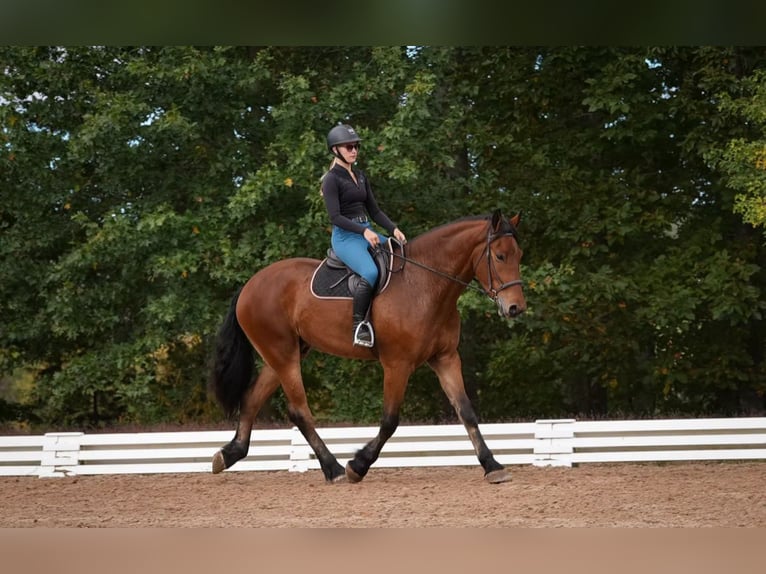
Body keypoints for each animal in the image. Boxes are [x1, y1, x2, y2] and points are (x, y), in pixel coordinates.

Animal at [209, 209, 526, 483]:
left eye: (519, 255)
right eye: (500, 256)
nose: (515, 308)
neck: (425, 284)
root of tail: (250, 284)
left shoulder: (446, 358)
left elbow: (466, 411)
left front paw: (492, 466)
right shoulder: (397, 364)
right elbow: (389, 420)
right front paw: (358, 465)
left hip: (286, 353)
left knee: (252, 398)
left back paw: (229, 454)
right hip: (283, 354)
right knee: (299, 410)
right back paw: (334, 468)